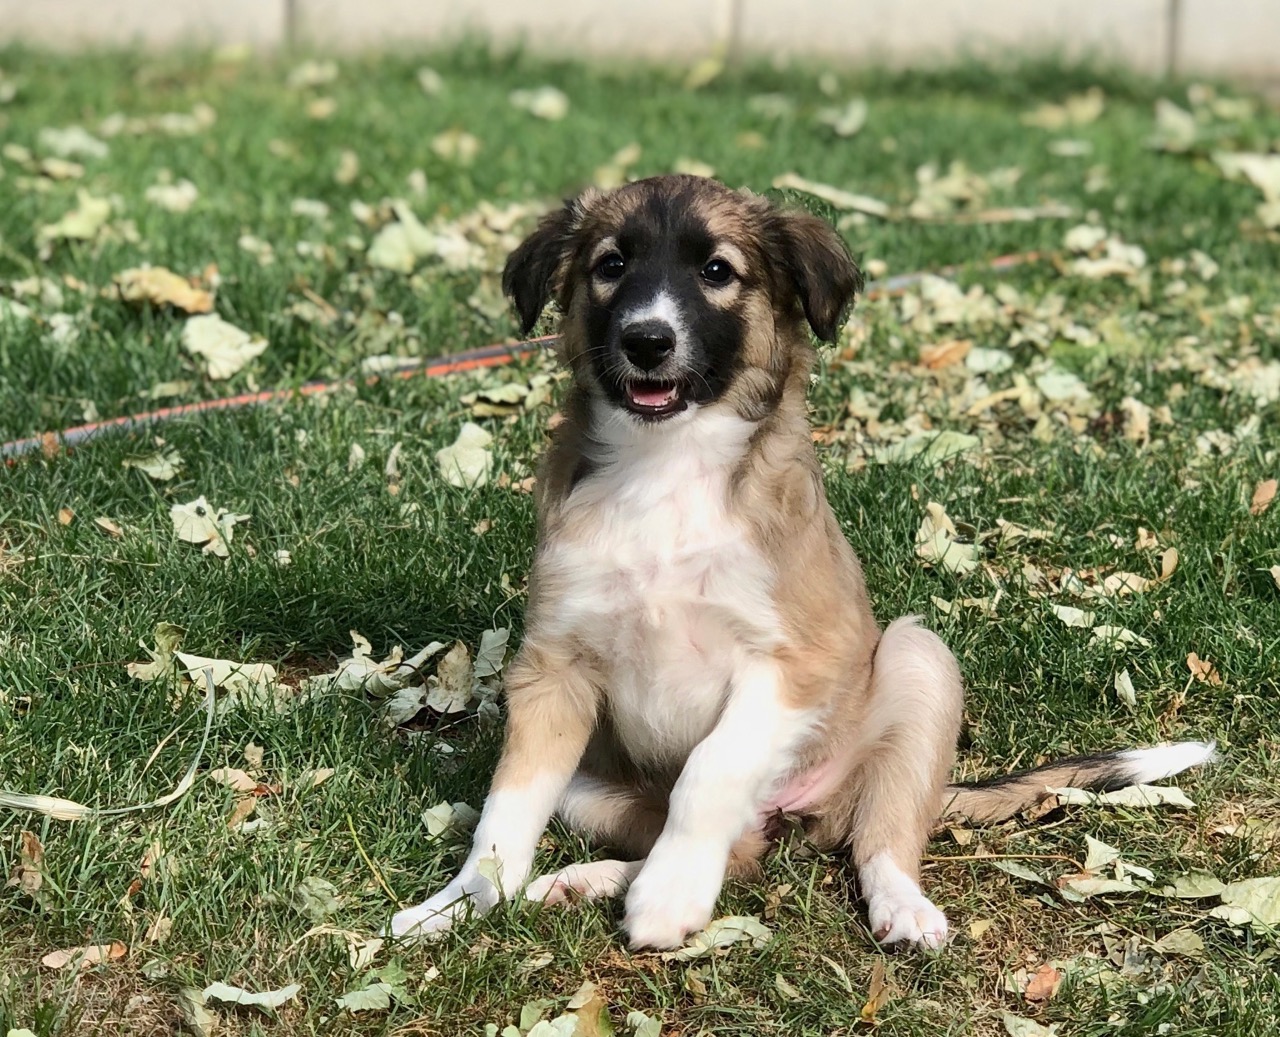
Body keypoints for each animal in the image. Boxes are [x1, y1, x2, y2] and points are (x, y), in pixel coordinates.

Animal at [389, 175, 1215, 950]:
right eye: (611, 265)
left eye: (717, 270)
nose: (647, 340)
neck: (666, 468)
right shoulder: (552, 668)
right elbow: (505, 811)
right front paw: (459, 903)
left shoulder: (797, 660)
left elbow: (711, 768)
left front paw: (670, 896)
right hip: (593, 782)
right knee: (742, 850)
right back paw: (587, 879)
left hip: (916, 662)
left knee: (877, 839)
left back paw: (898, 906)